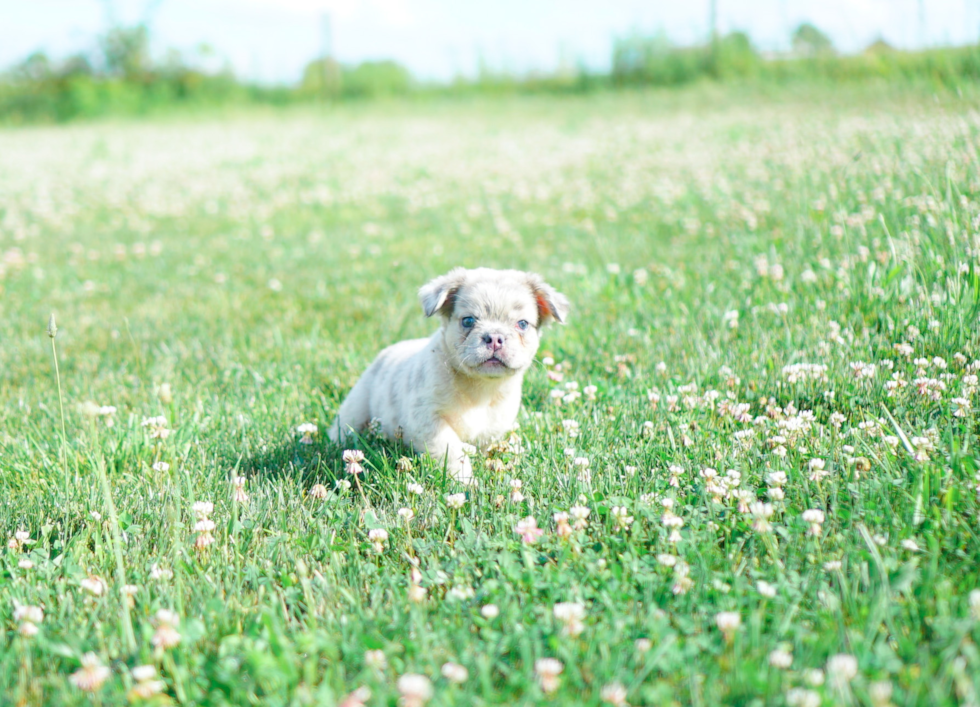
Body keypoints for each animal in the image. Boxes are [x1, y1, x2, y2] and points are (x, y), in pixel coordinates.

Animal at [330, 268, 572, 484]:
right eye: (468, 321)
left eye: (522, 324)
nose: (494, 338)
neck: (481, 388)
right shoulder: (430, 422)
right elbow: (454, 453)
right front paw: (465, 482)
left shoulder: (493, 429)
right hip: (354, 412)